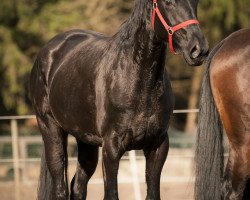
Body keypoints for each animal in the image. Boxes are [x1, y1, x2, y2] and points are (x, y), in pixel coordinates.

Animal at [30, 0, 208, 200]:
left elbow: (153, 193)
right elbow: (111, 193)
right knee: (60, 186)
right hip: (50, 129)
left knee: (78, 186)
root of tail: (49, 50)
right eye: (168, 3)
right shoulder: (111, 148)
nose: (198, 49)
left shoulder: (158, 146)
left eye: (195, 1)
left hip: (86, 141)